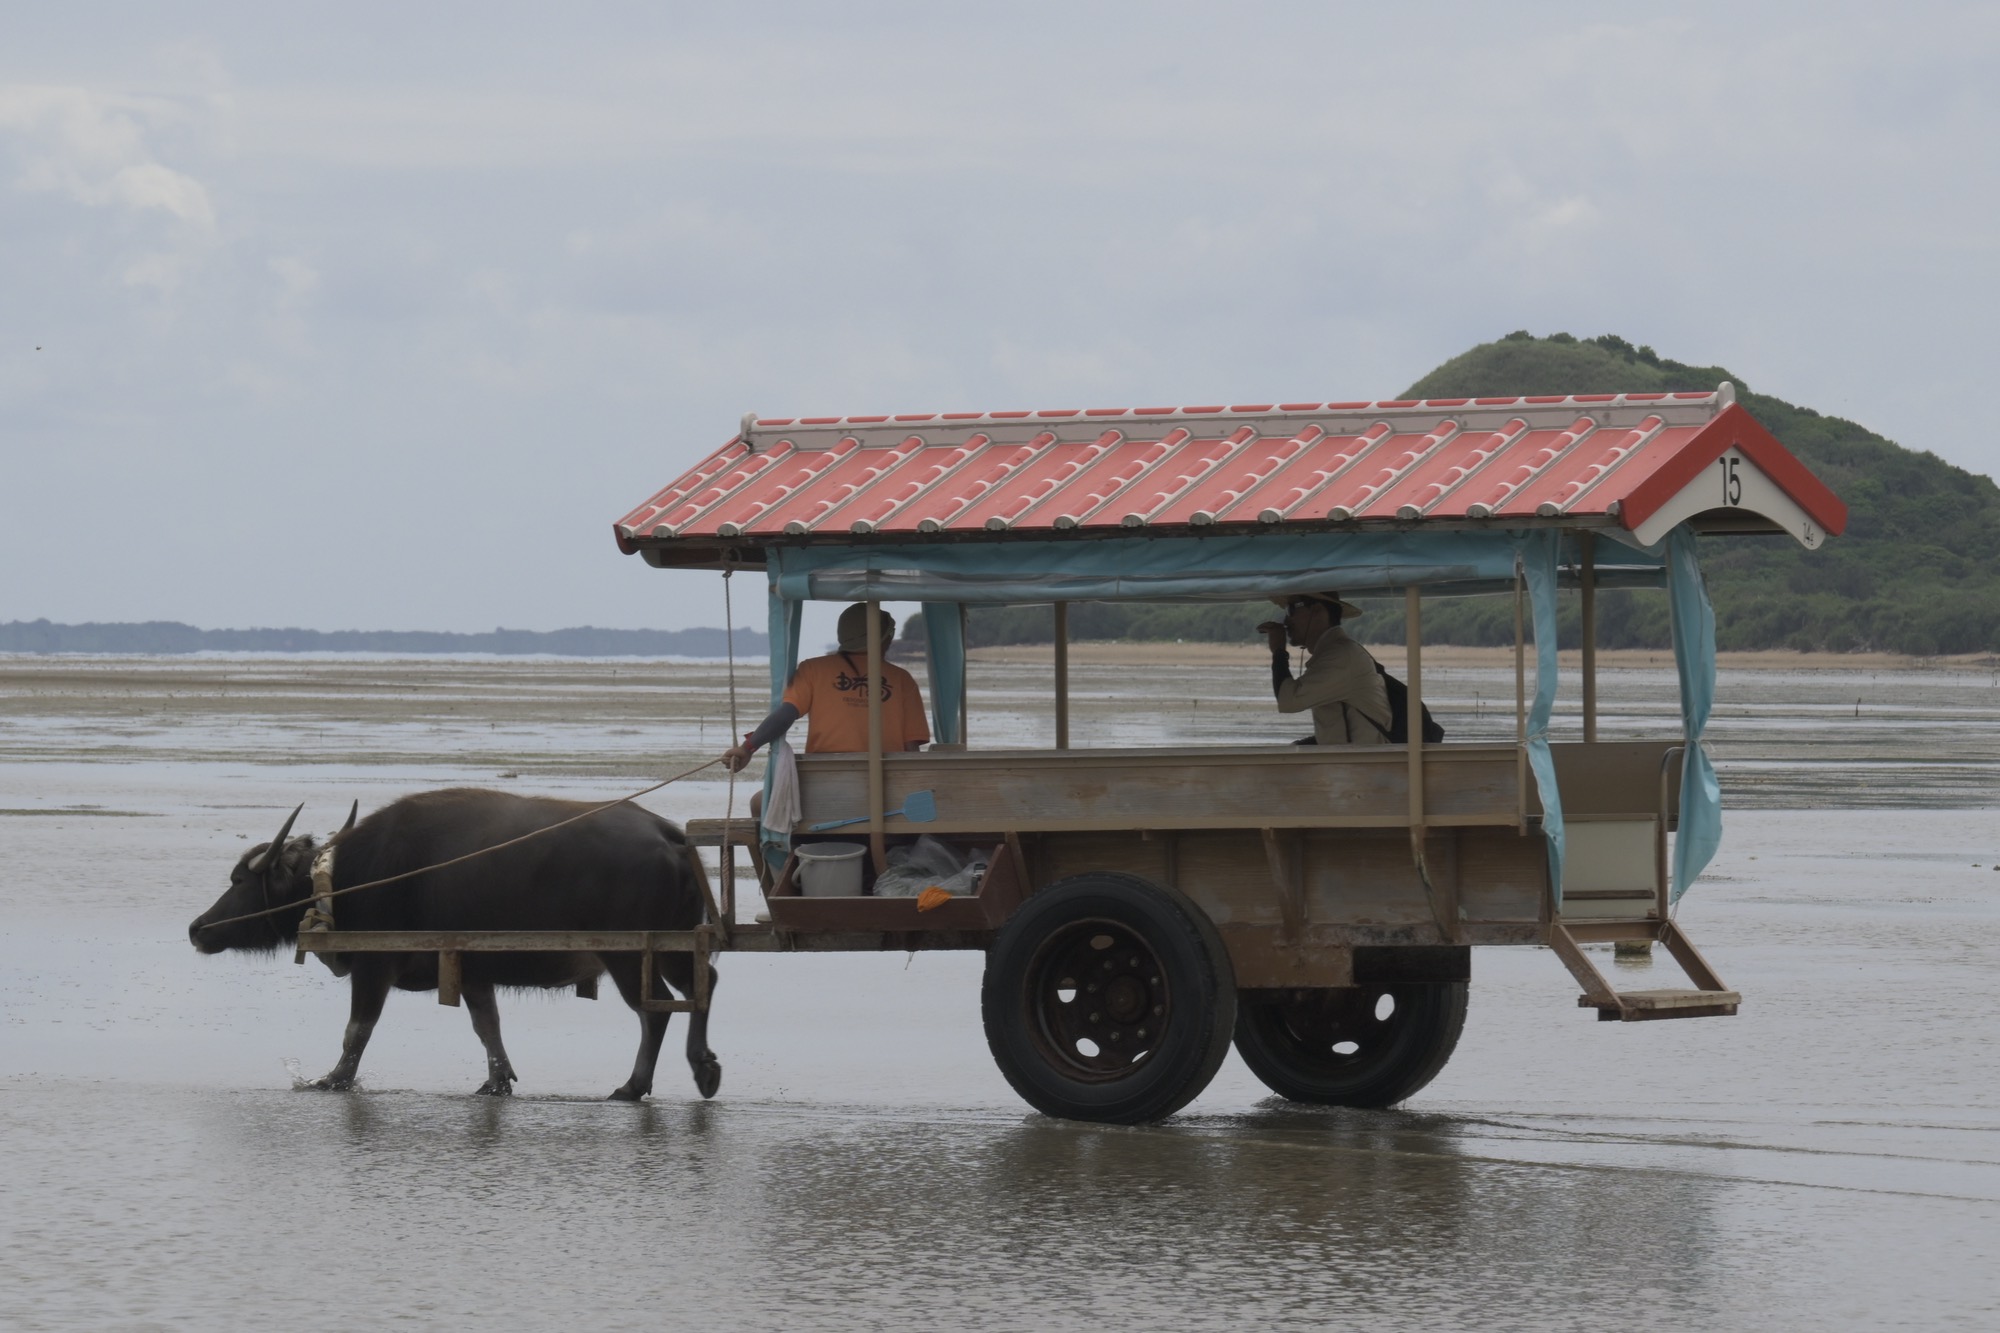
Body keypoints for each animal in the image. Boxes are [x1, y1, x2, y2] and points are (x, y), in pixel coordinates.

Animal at [189, 788, 721, 1101]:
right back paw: (703, 1066)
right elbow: (488, 1028)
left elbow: (357, 1030)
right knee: (703, 984)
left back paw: (633, 1085)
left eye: (239, 879)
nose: (198, 928)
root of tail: (669, 834)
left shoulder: (373, 966)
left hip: (630, 954)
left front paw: (333, 1079)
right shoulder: (471, 970)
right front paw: (496, 1081)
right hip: (675, 947)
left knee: (655, 1011)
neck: (349, 877)